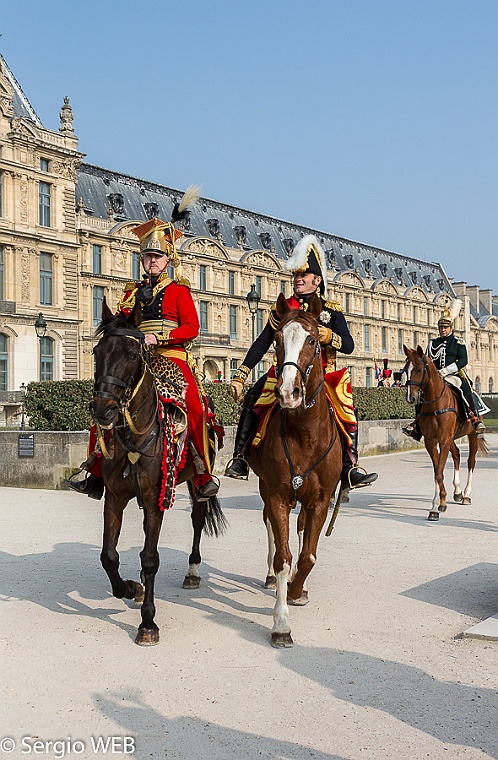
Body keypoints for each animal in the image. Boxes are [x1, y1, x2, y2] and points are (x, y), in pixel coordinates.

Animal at [90, 300, 227, 644]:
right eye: (97, 352)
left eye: (132, 355)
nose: (103, 410)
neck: (135, 434)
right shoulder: (115, 496)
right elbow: (109, 555)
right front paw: (129, 588)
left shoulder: (156, 498)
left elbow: (151, 558)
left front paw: (148, 621)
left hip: (195, 481)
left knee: (197, 519)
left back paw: (192, 571)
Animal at [248, 292, 342, 648]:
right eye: (276, 340)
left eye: (313, 340)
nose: (288, 392)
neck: (306, 433)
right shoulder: (277, 494)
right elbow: (284, 557)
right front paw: (281, 623)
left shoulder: (320, 499)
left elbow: (308, 556)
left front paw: (298, 590)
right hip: (265, 488)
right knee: (271, 530)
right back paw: (271, 577)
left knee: (300, 533)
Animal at [404, 346, 486, 520]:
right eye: (405, 369)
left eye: (419, 369)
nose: (411, 397)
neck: (435, 403)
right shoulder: (432, 441)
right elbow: (437, 471)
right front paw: (441, 502)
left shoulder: (443, 440)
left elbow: (439, 472)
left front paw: (435, 507)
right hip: (452, 438)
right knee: (456, 455)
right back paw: (458, 492)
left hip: (472, 435)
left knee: (471, 461)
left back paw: (466, 495)